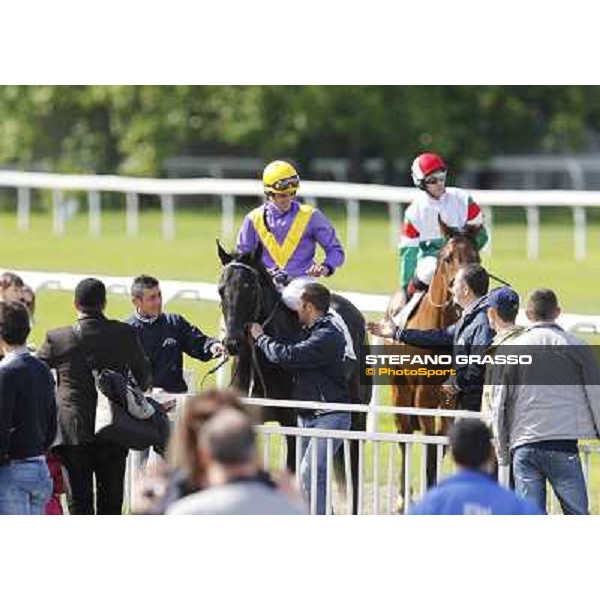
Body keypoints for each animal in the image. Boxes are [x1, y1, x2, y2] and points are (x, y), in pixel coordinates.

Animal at [218, 241, 372, 512]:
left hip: (357, 416)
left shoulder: (292, 422)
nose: (232, 342)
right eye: (220, 290)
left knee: (353, 466)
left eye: (250, 287)